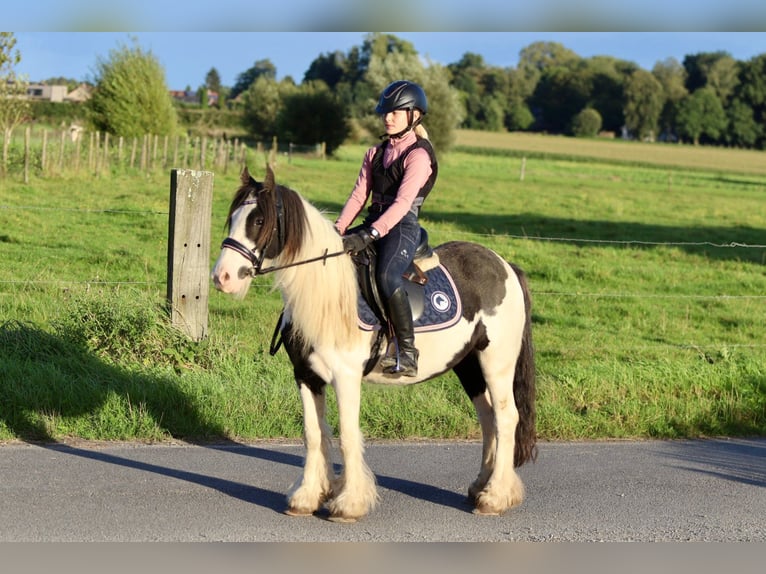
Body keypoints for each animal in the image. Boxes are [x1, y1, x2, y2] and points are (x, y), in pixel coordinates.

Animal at [212, 166, 540, 528]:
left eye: (258, 221)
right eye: (232, 218)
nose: (222, 277)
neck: (326, 296)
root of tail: (506, 265)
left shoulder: (346, 377)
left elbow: (348, 434)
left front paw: (348, 504)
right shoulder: (306, 376)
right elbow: (314, 434)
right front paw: (306, 498)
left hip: (496, 362)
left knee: (507, 417)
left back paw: (496, 497)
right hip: (468, 365)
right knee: (488, 419)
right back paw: (481, 487)